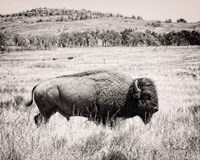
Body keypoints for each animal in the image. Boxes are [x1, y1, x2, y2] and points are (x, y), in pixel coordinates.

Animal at [25, 69, 159, 126]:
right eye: (146, 96)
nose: (156, 108)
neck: (127, 93)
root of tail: (38, 85)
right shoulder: (107, 118)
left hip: (47, 112)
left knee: (37, 119)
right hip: (47, 112)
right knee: (40, 120)